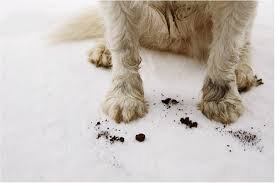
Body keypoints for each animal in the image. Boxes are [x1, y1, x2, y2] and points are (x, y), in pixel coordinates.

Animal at [52, 0, 262, 123]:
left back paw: (241, 71)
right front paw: (124, 98)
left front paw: (221, 99)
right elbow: (122, 43)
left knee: (245, 40)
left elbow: (227, 48)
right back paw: (104, 49)